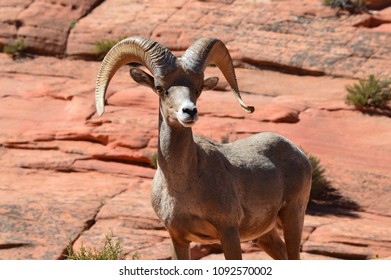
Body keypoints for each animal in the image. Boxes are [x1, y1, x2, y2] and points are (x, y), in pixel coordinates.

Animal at [95, 36, 312, 260]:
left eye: (198, 89)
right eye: (160, 88)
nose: (189, 111)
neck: (182, 185)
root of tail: (298, 153)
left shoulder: (229, 231)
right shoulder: (178, 238)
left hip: (293, 216)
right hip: (265, 235)